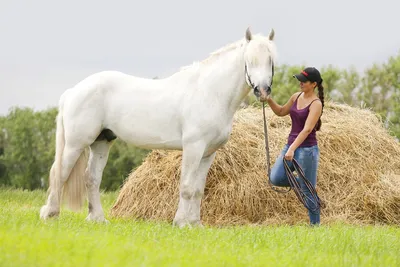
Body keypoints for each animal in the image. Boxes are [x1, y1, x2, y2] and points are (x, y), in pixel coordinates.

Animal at [41, 27, 278, 228]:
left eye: (271, 61)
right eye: (249, 60)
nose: (263, 91)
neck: (209, 92)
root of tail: (73, 90)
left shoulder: (208, 153)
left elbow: (198, 189)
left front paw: (196, 224)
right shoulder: (193, 148)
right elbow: (186, 186)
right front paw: (181, 223)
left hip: (101, 142)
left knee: (91, 178)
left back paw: (98, 218)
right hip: (76, 144)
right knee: (59, 173)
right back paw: (50, 213)